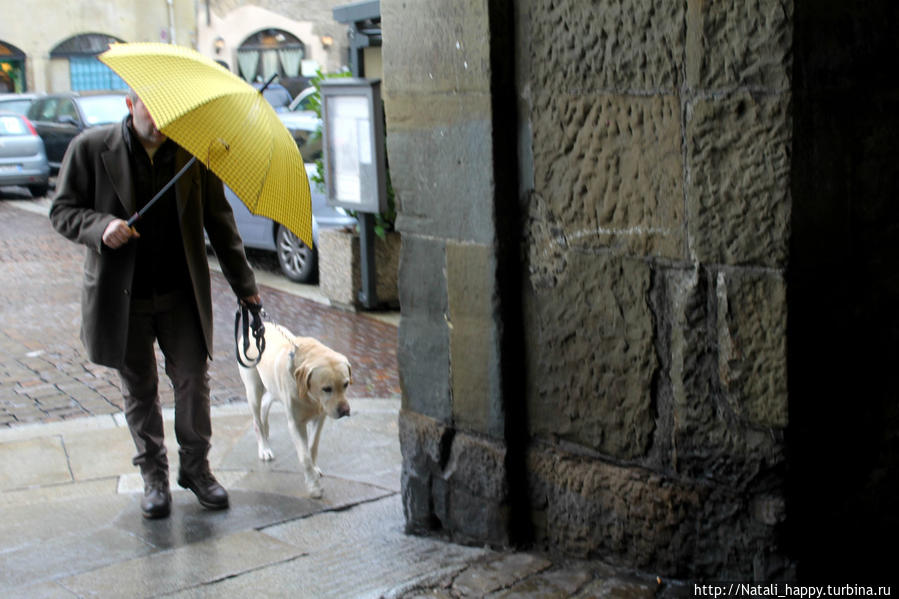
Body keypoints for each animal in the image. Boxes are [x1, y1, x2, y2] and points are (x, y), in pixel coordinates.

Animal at [239, 326, 352, 500]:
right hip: (253, 388)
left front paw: (314, 469)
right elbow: (304, 456)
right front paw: (313, 487)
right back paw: (264, 448)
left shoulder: (320, 417)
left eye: (345, 384)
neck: (311, 397)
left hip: (273, 388)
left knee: (265, 404)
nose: (345, 410)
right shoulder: (295, 424)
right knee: (256, 418)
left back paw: (266, 430)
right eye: (326, 389)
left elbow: (312, 446)